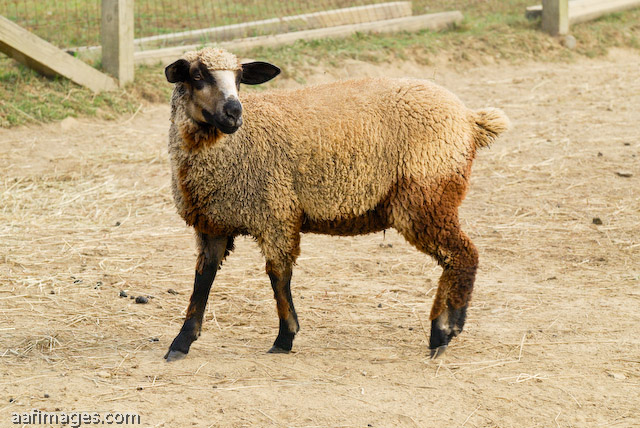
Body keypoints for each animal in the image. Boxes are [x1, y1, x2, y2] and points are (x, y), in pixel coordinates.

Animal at [164, 46, 510, 362]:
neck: (231, 146)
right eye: (197, 76)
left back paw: (444, 331)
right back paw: (444, 330)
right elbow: (203, 278)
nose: (234, 112)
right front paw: (181, 341)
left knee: (463, 255)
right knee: (455, 258)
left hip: (427, 196)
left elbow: (278, 275)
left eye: (239, 78)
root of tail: (470, 120)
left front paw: (285, 337)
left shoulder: (277, 213)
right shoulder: (213, 222)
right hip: (431, 200)